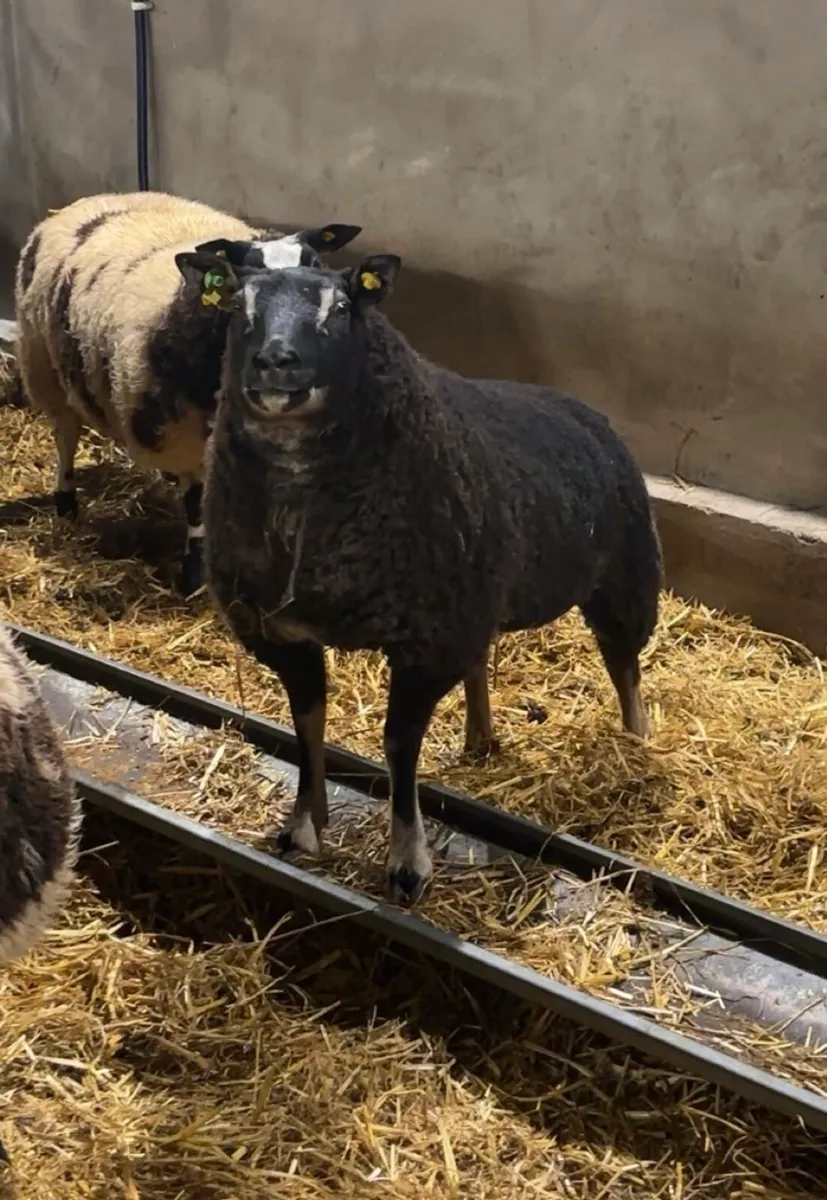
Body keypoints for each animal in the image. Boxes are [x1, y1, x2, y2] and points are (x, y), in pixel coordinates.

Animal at [13, 191, 361, 593]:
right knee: (66, 437)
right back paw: (66, 502)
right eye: (246, 279)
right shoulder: (187, 442)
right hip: (45, 368)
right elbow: (197, 505)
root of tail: (93, 200)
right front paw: (195, 572)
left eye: (315, 264)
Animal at [177, 244, 662, 904]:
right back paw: (481, 739)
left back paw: (636, 744)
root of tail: (586, 411)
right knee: (484, 660)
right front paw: (305, 825)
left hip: (621, 575)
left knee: (624, 664)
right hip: (478, 590)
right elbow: (307, 721)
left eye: (341, 307)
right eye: (238, 306)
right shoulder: (284, 633)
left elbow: (398, 745)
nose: (277, 361)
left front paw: (408, 862)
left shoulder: (426, 639)